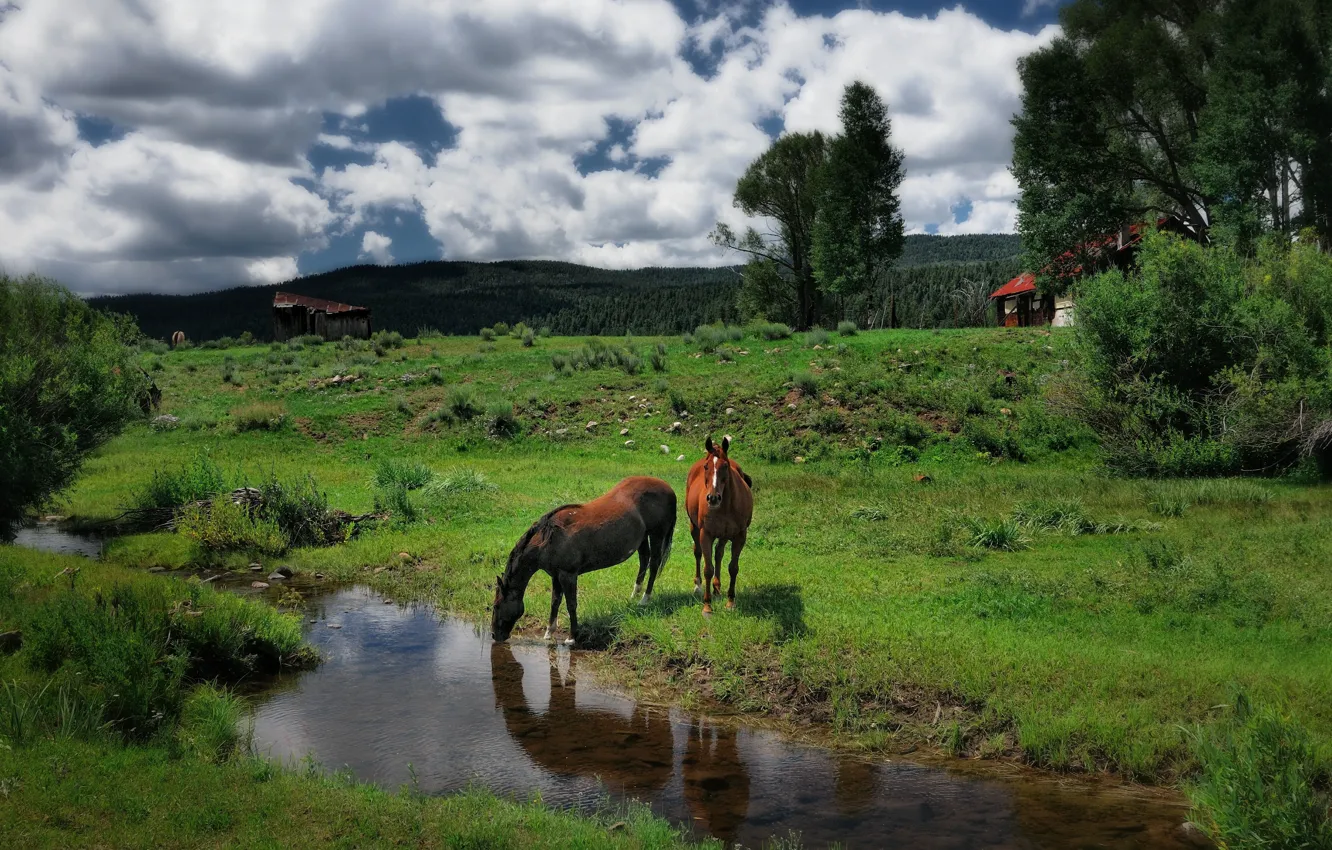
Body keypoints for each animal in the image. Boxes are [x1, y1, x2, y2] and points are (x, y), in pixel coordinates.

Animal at [491, 476, 676, 645]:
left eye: (496, 606)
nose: (494, 635)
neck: (549, 539)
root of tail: (668, 488)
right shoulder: (556, 576)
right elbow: (555, 602)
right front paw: (549, 632)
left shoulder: (568, 575)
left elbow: (571, 604)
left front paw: (572, 636)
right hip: (643, 537)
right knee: (644, 560)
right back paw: (634, 595)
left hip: (657, 534)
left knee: (654, 564)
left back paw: (645, 599)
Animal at [686, 436, 754, 614]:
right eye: (706, 466)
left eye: (725, 466)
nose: (713, 498)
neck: (726, 506)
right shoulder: (706, 534)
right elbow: (708, 569)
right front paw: (707, 606)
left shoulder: (740, 536)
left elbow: (733, 567)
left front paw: (730, 602)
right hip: (694, 528)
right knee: (698, 553)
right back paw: (698, 586)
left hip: (724, 535)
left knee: (718, 553)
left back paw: (717, 588)